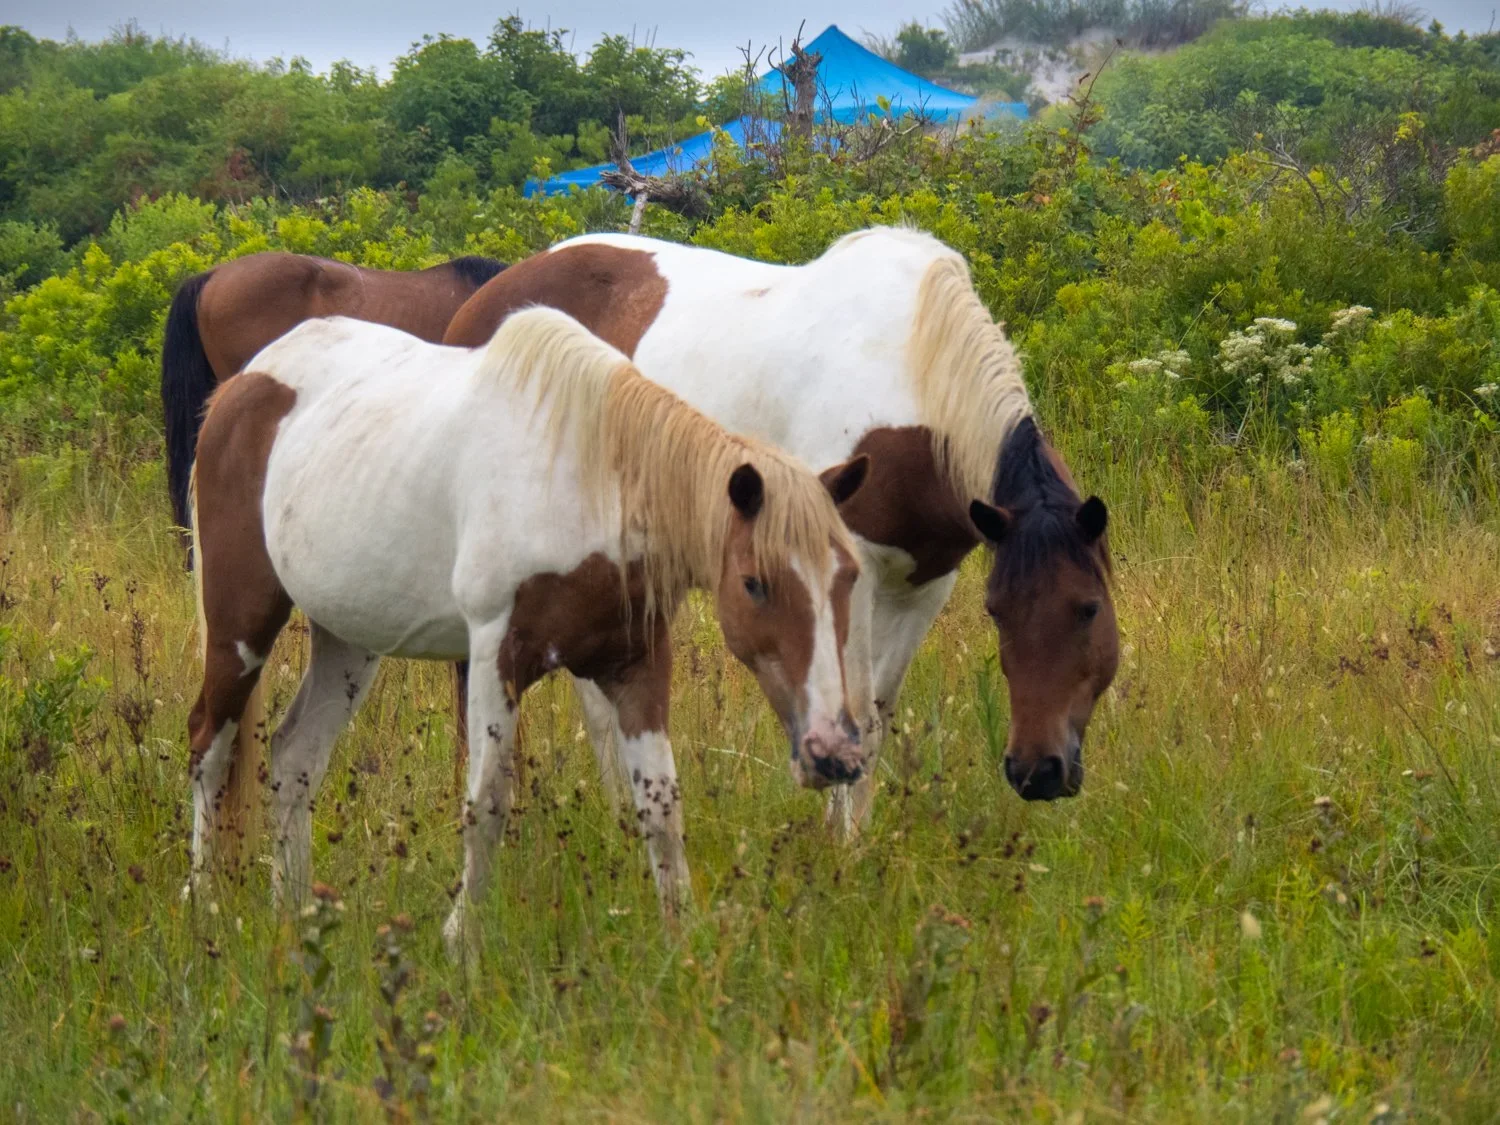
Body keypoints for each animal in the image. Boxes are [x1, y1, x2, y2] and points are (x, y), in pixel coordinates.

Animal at [186, 306, 869, 948]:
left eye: (849, 576)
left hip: (348, 643)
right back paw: (204, 906)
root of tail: (244, 383)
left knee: (294, 756)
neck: (585, 483)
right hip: (240, 625)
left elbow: (661, 804)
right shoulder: (497, 654)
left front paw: (682, 938)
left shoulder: (637, 664)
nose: (832, 753)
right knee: (208, 743)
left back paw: (294, 913)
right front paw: (462, 940)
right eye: (755, 582)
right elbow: (488, 802)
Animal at [442, 227, 1120, 825]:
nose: (1038, 772)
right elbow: (854, 711)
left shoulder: (926, 584)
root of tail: (478, 308)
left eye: (1088, 608)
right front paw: (846, 844)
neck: (911, 373)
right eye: (1002, 613)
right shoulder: (854, 570)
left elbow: (877, 713)